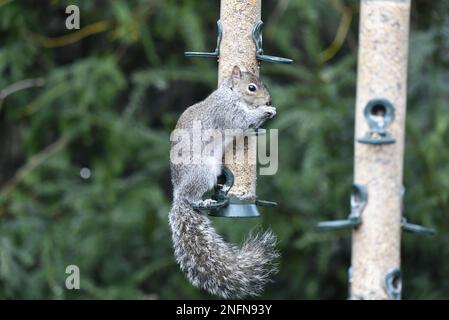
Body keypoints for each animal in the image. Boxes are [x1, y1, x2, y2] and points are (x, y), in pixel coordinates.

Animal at [170, 66, 278, 298]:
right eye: (252, 87)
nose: (268, 99)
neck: (230, 94)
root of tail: (178, 193)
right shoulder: (227, 113)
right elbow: (242, 121)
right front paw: (265, 111)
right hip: (202, 171)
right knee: (191, 197)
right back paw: (204, 201)